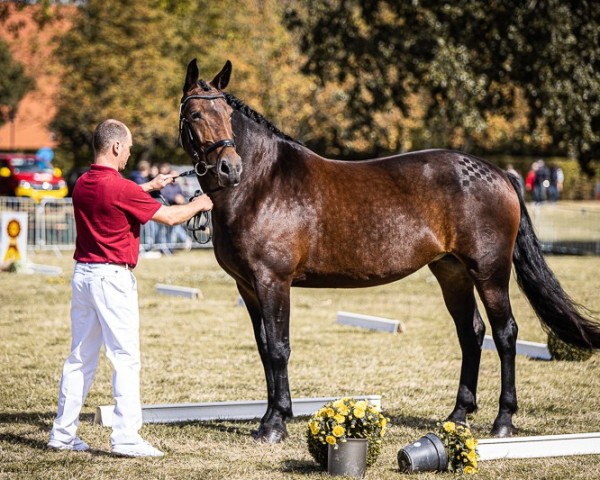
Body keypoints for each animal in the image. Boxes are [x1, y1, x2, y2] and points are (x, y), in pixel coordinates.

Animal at [179, 59, 600, 442]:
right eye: (195, 113)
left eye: (228, 115)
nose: (230, 168)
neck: (263, 183)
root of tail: (499, 173)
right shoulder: (248, 287)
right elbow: (265, 349)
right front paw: (268, 419)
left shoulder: (273, 282)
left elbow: (280, 348)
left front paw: (276, 424)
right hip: (452, 271)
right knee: (472, 332)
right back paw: (458, 415)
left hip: (490, 272)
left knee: (505, 333)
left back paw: (503, 421)